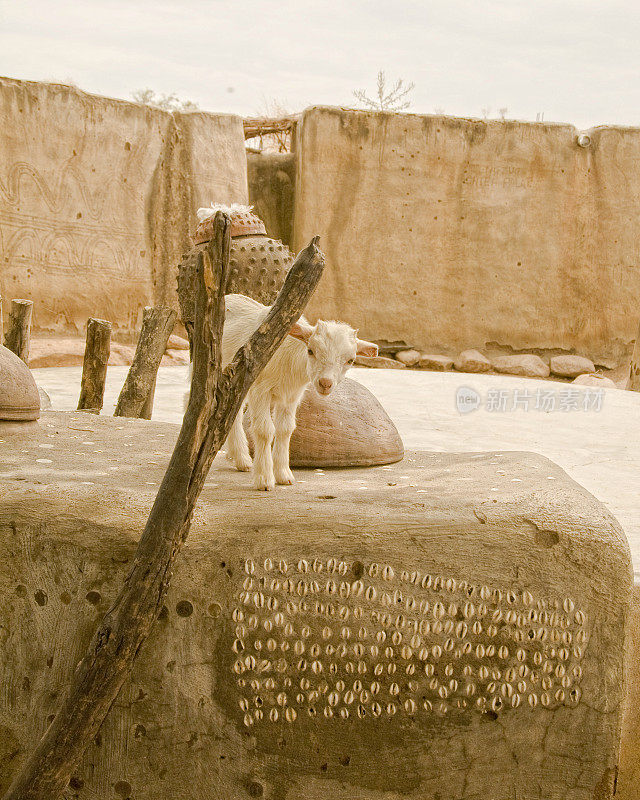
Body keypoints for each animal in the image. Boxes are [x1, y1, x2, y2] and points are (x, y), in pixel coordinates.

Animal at [202, 294, 378, 490]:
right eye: (310, 350)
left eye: (351, 360)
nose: (325, 383)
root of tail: (229, 296)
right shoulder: (260, 390)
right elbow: (265, 430)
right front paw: (264, 479)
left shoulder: (291, 395)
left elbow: (285, 429)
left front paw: (284, 475)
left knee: (235, 411)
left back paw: (241, 459)